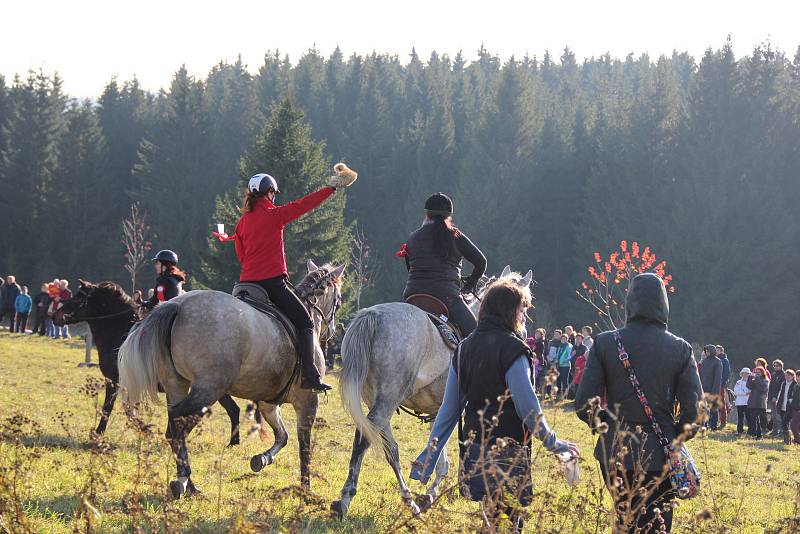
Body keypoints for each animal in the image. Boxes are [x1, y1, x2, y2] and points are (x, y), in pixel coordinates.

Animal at [119, 262, 344, 500]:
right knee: (177, 425)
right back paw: (183, 480)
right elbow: (304, 444)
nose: (331, 332)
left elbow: (282, 435)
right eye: (338, 301)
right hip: (207, 390)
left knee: (175, 428)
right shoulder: (308, 401)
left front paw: (262, 459)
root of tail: (176, 306)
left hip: (177, 385)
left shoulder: (269, 404)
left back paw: (190, 485)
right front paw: (306, 489)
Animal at [332, 266, 532, 520]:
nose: (521, 333)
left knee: (389, 449)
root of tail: (373, 315)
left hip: (376, 401)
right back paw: (345, 499)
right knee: (364, 440)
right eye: (525, 306)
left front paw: (428, 492)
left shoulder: (439, 409)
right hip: (388, 399)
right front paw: (434, 490)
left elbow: (437, 447)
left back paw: (410, 502)